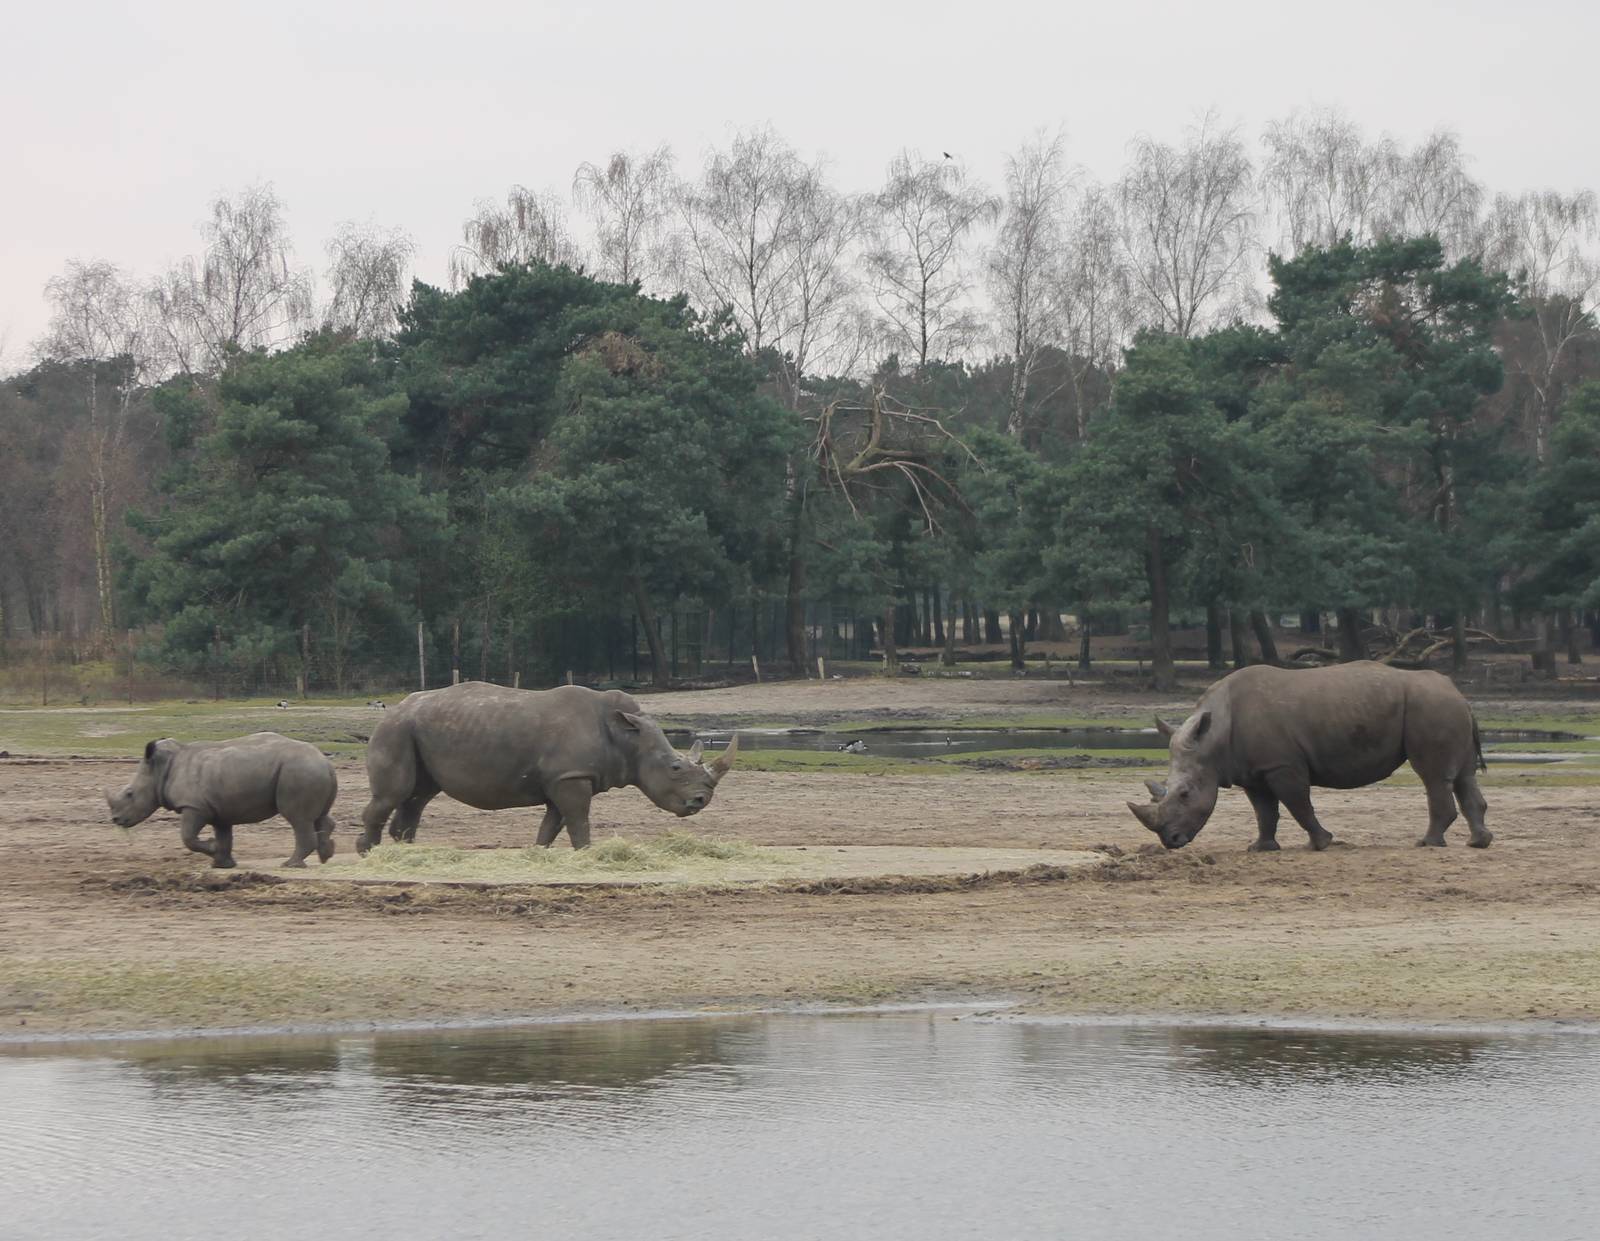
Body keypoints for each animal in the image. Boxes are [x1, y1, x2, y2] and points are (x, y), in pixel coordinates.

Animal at [106, 733, 338, 868]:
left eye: (129, 793)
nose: (115, 819)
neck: (160, 769)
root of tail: (325, 761)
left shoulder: (194, 805)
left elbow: (187, 837)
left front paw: (212, 848)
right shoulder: (220, 809)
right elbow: (225, 836)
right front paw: (222, 864)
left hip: (298, 771)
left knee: (298, 819)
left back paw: (290, 865)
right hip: (307, 770)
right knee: (318, 816)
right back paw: (325, 856)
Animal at [356, 682, 738, 853]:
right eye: (675, 767)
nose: (701, 801)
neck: (628, 737)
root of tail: (393, 708)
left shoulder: (562, 778)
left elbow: (553, 824)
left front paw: (539, 854)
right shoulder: (572, 776)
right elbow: (578, 820)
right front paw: (587, 854)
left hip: (416, 730)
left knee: (417, 796)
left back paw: (405, 850)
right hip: (396, 729)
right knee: (395, 793)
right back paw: (369, 852)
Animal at [1128, 661, 1489, 852]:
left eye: (1185, 793)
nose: (1171, 841)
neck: (1213, 739)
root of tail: (1460, 693)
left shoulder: (1282, 765)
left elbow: (1298, 805)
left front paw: (1322, 843)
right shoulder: (1253, 771)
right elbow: (1264, 811)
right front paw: (1261, 848)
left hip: (1431, 706)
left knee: (1432, 776)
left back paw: (1427, 843)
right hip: (1442, 706)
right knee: (1463, 776)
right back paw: (1478, 843)